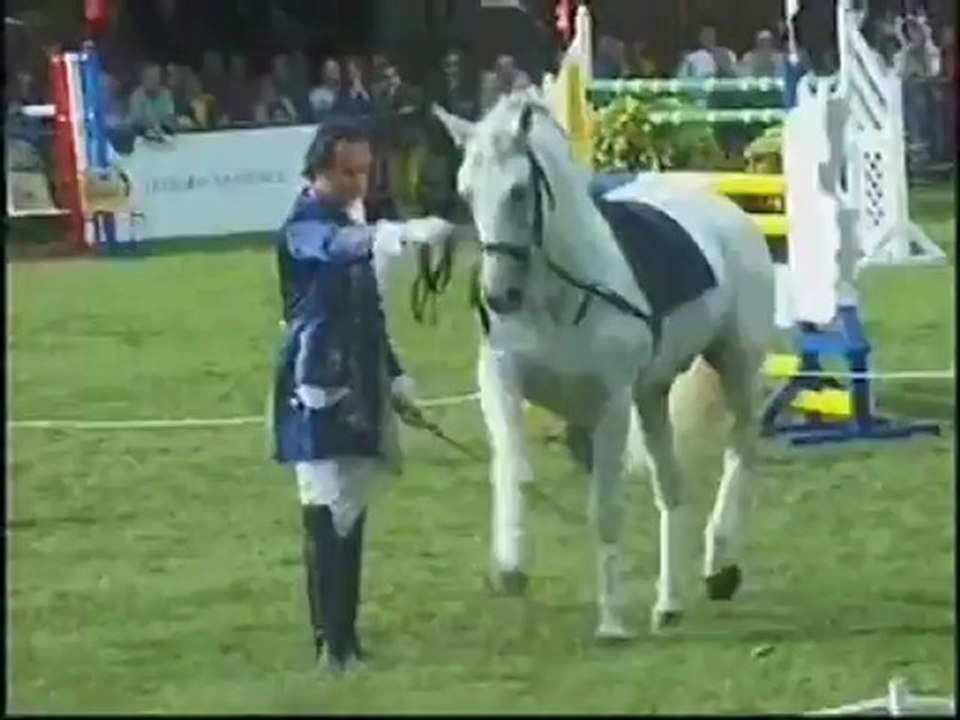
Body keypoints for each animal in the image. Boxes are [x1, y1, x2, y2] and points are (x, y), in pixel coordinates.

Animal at [432, 93, 776, 638]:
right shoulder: (502, 382)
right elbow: (513, 468)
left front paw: (612, 621)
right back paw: (668, 603)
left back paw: (720, 564)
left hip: (735, 365)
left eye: (519, 192)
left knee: (741, 450)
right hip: (652, 395)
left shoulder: (609, 407)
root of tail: (725, 208)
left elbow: (606, 509)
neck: (560, 296)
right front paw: (510, 566)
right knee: (669, 487)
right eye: (467, 192)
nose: (498, 296)